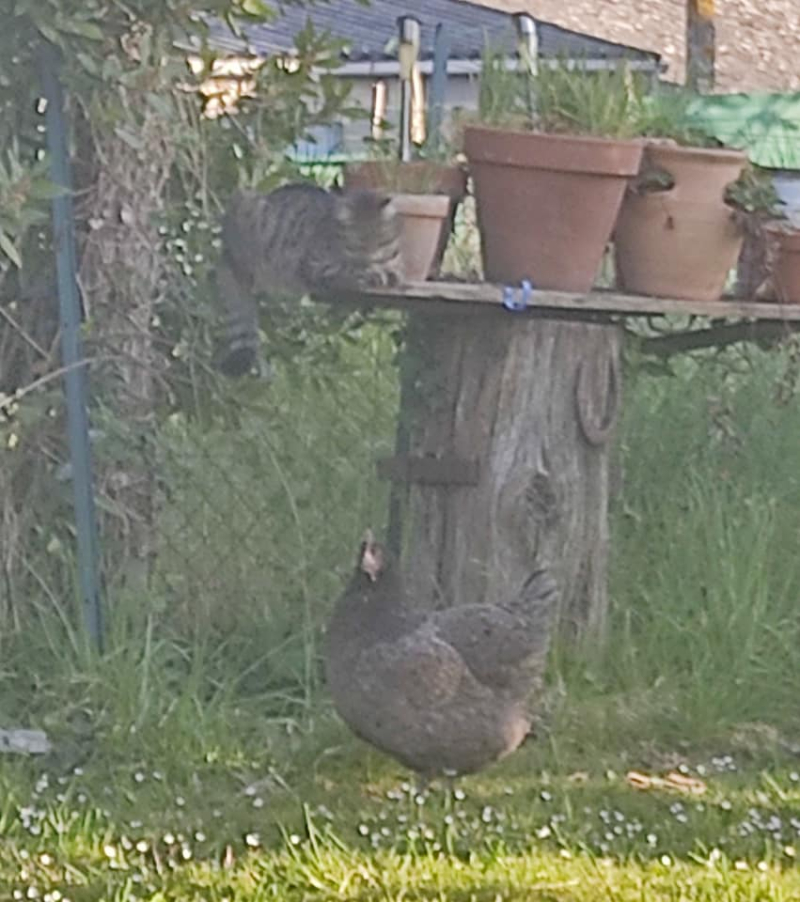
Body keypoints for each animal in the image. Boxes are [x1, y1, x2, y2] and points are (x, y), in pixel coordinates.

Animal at [216, 185, 404, 376]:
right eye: (355, 245)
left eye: (379, 242)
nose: (367, 260)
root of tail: (225, 249)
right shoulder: (317, 265)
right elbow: (349, 270)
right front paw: (370, 273)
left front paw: (387, 273)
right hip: (247, 213)